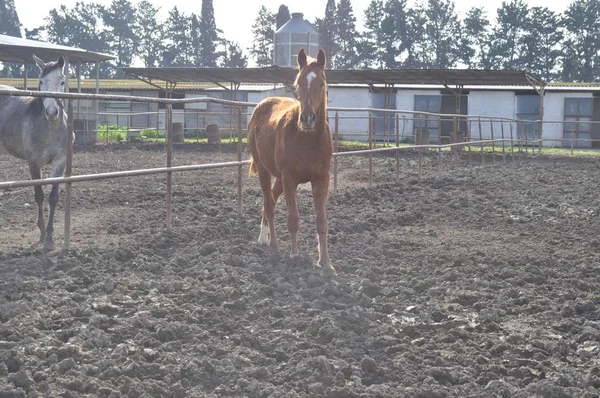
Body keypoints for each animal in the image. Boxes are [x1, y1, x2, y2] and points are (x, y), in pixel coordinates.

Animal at [0, 54, 73, 250]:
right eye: (41, 82)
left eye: (62, 81)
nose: (52, 112)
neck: (50, 129)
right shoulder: (33, 163)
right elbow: (39, 195)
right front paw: (41, 233)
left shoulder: (60, 161)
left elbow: (53, 197)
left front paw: (49, 239)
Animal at [247, 48, 336, 268]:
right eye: (298, 83)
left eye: (321, 83)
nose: (308, 118)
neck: (307, 138)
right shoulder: (289, 178)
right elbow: (293, 219)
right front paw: (294, 255)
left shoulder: (321, 178)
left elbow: (322, 221)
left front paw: (325, 262)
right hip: (264, 170)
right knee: (269, 204)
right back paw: (272, 244)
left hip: (279, 178)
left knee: (271, 198)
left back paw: (264, 238)